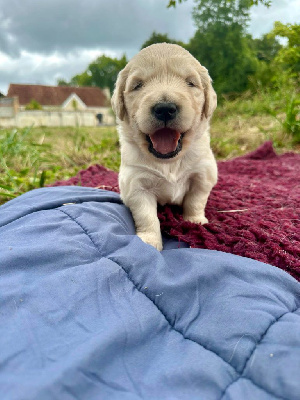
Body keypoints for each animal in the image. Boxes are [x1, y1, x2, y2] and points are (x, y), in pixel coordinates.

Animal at [111, 43, 217, 250]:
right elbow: (147, 217)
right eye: (137, 85)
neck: (169, 162)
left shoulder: (202, 174)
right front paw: (150, 241)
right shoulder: (136, 185)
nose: (165, 108)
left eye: (190, 83)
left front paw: (195, 221)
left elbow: (196, 200)